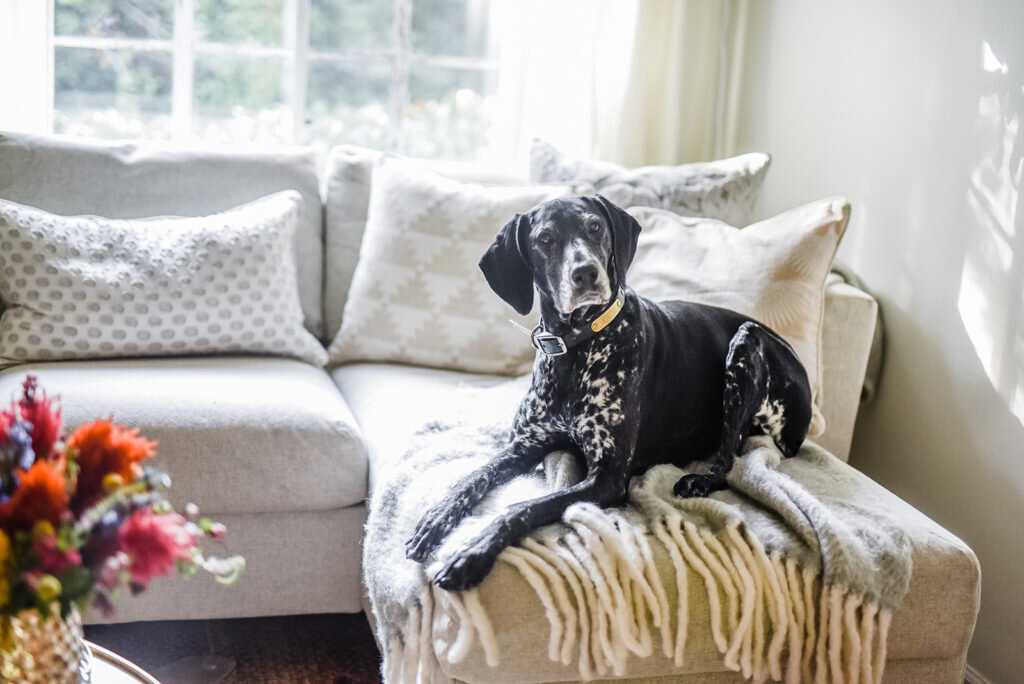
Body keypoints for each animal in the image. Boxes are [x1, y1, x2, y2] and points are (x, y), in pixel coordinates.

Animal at [403, 194, 811, 589]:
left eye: (595, 226)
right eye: (545, 239)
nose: (585, 273)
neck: (577, 349)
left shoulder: (608, 478)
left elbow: (522, 507)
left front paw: (472, 552)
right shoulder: (522, 448)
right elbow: (473, 478)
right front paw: (435, 519)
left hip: (745, 342)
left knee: (729, 456)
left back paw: (700, 479)